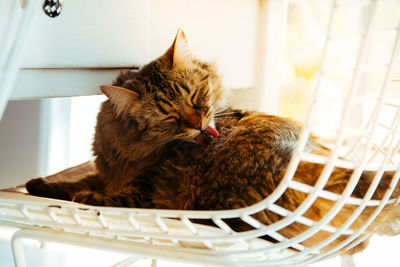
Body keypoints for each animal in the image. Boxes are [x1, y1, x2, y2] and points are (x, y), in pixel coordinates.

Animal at [26, 28, 398, 255]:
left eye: (197, 97)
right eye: (170, 118)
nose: (199, 123)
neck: (126, 153)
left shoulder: (146, 193)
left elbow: (97, 194)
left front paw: (76, 194)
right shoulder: (106, 171)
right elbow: (77, 179)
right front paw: (39, 183)